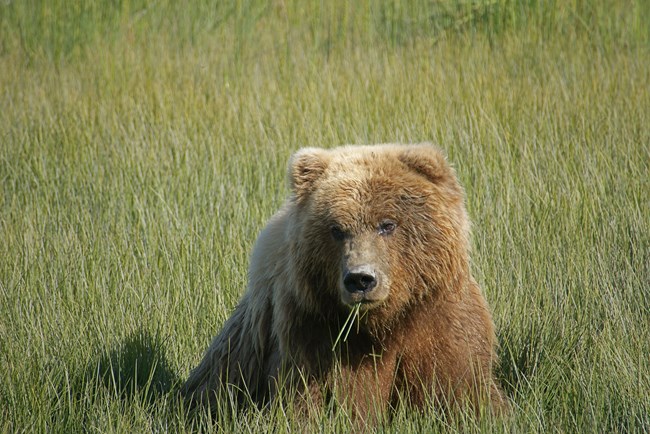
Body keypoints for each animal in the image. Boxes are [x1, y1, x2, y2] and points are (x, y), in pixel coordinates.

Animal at [182, 145, 506, 420]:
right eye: (336, 229)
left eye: (387, 224)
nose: (360, 279)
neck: (387, 321)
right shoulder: (316, 331)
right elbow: (334, 400)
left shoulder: (440, 320)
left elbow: (460, 385)